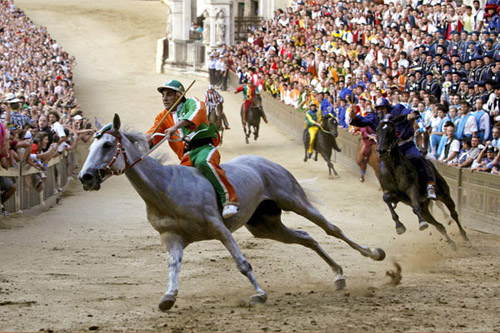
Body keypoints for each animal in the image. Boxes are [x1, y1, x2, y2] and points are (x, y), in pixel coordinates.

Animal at [79, 114, 386, 312]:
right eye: (90, 145)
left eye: (107, 145)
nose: (85, 177)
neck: (167, 188)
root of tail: (266, 162)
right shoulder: (171, 237)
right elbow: (173, 266)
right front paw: (168, 297)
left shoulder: (219, 227)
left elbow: (242, 263)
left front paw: (259, 294)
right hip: (266, 226)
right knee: (306, 237)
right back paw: (338, 275)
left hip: (295, 200)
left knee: (330, 228)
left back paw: (374, 254)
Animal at [376, 116, 466, 246]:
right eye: (377, 131)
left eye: (391, 131)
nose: (381, 151)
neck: (391, 167)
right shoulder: (391, 192)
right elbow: (386, 198)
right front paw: (399, 226)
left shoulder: (411, 188)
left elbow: (415, 206)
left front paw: (422, 224)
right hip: (425, 208)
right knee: (439, 226)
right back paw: (452, 244)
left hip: (444, 194)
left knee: (453, 213)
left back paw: (464, 236)